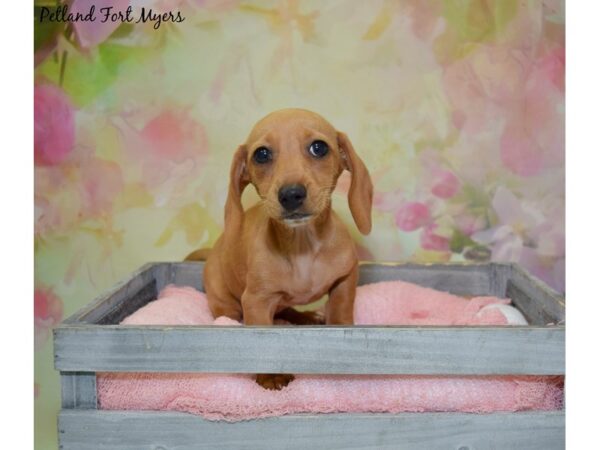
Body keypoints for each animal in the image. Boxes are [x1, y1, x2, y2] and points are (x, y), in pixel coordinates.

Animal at [199, 109, 372, 390]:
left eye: (319, 147)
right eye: (261, 154)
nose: (291, 195)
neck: (302, 246)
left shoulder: (345, 279)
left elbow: (340, 311)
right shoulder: (256, 301)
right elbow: (264, 340)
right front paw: (270, 376)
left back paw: (307, 317)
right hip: (226, 304)